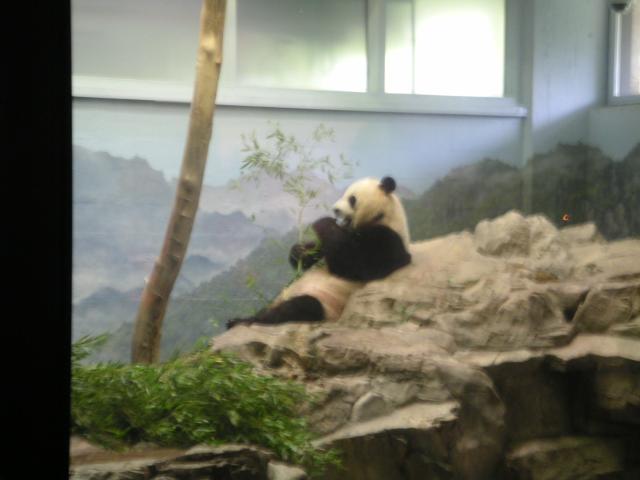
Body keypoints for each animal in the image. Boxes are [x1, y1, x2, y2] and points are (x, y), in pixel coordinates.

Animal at [226, 176, 411, 329]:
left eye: (352, 198)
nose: (335, 210)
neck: (383, 216)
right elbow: (315, 254)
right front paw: (299, 251)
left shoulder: (388, 239)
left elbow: (355, 266)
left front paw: (324, 221)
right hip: (281, 295)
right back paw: (238, 319)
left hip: (325, 307)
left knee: (300, 307)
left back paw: (250, 321)